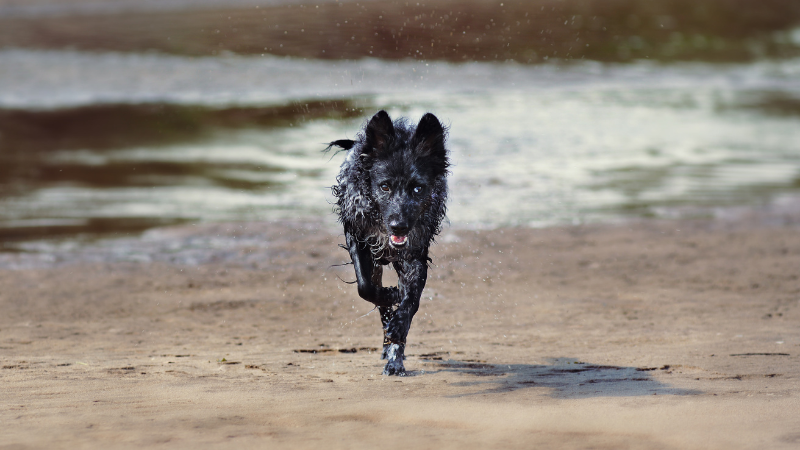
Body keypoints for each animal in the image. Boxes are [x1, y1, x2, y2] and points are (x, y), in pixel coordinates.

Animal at [326, 110, 450, 376]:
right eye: (384, 186)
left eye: (418, 188)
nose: (399, 226)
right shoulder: (358, 238)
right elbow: (366, 288)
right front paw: (391, 295)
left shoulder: (415, 255)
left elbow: (411, 300)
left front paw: (399, 329)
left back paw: (394, 357)